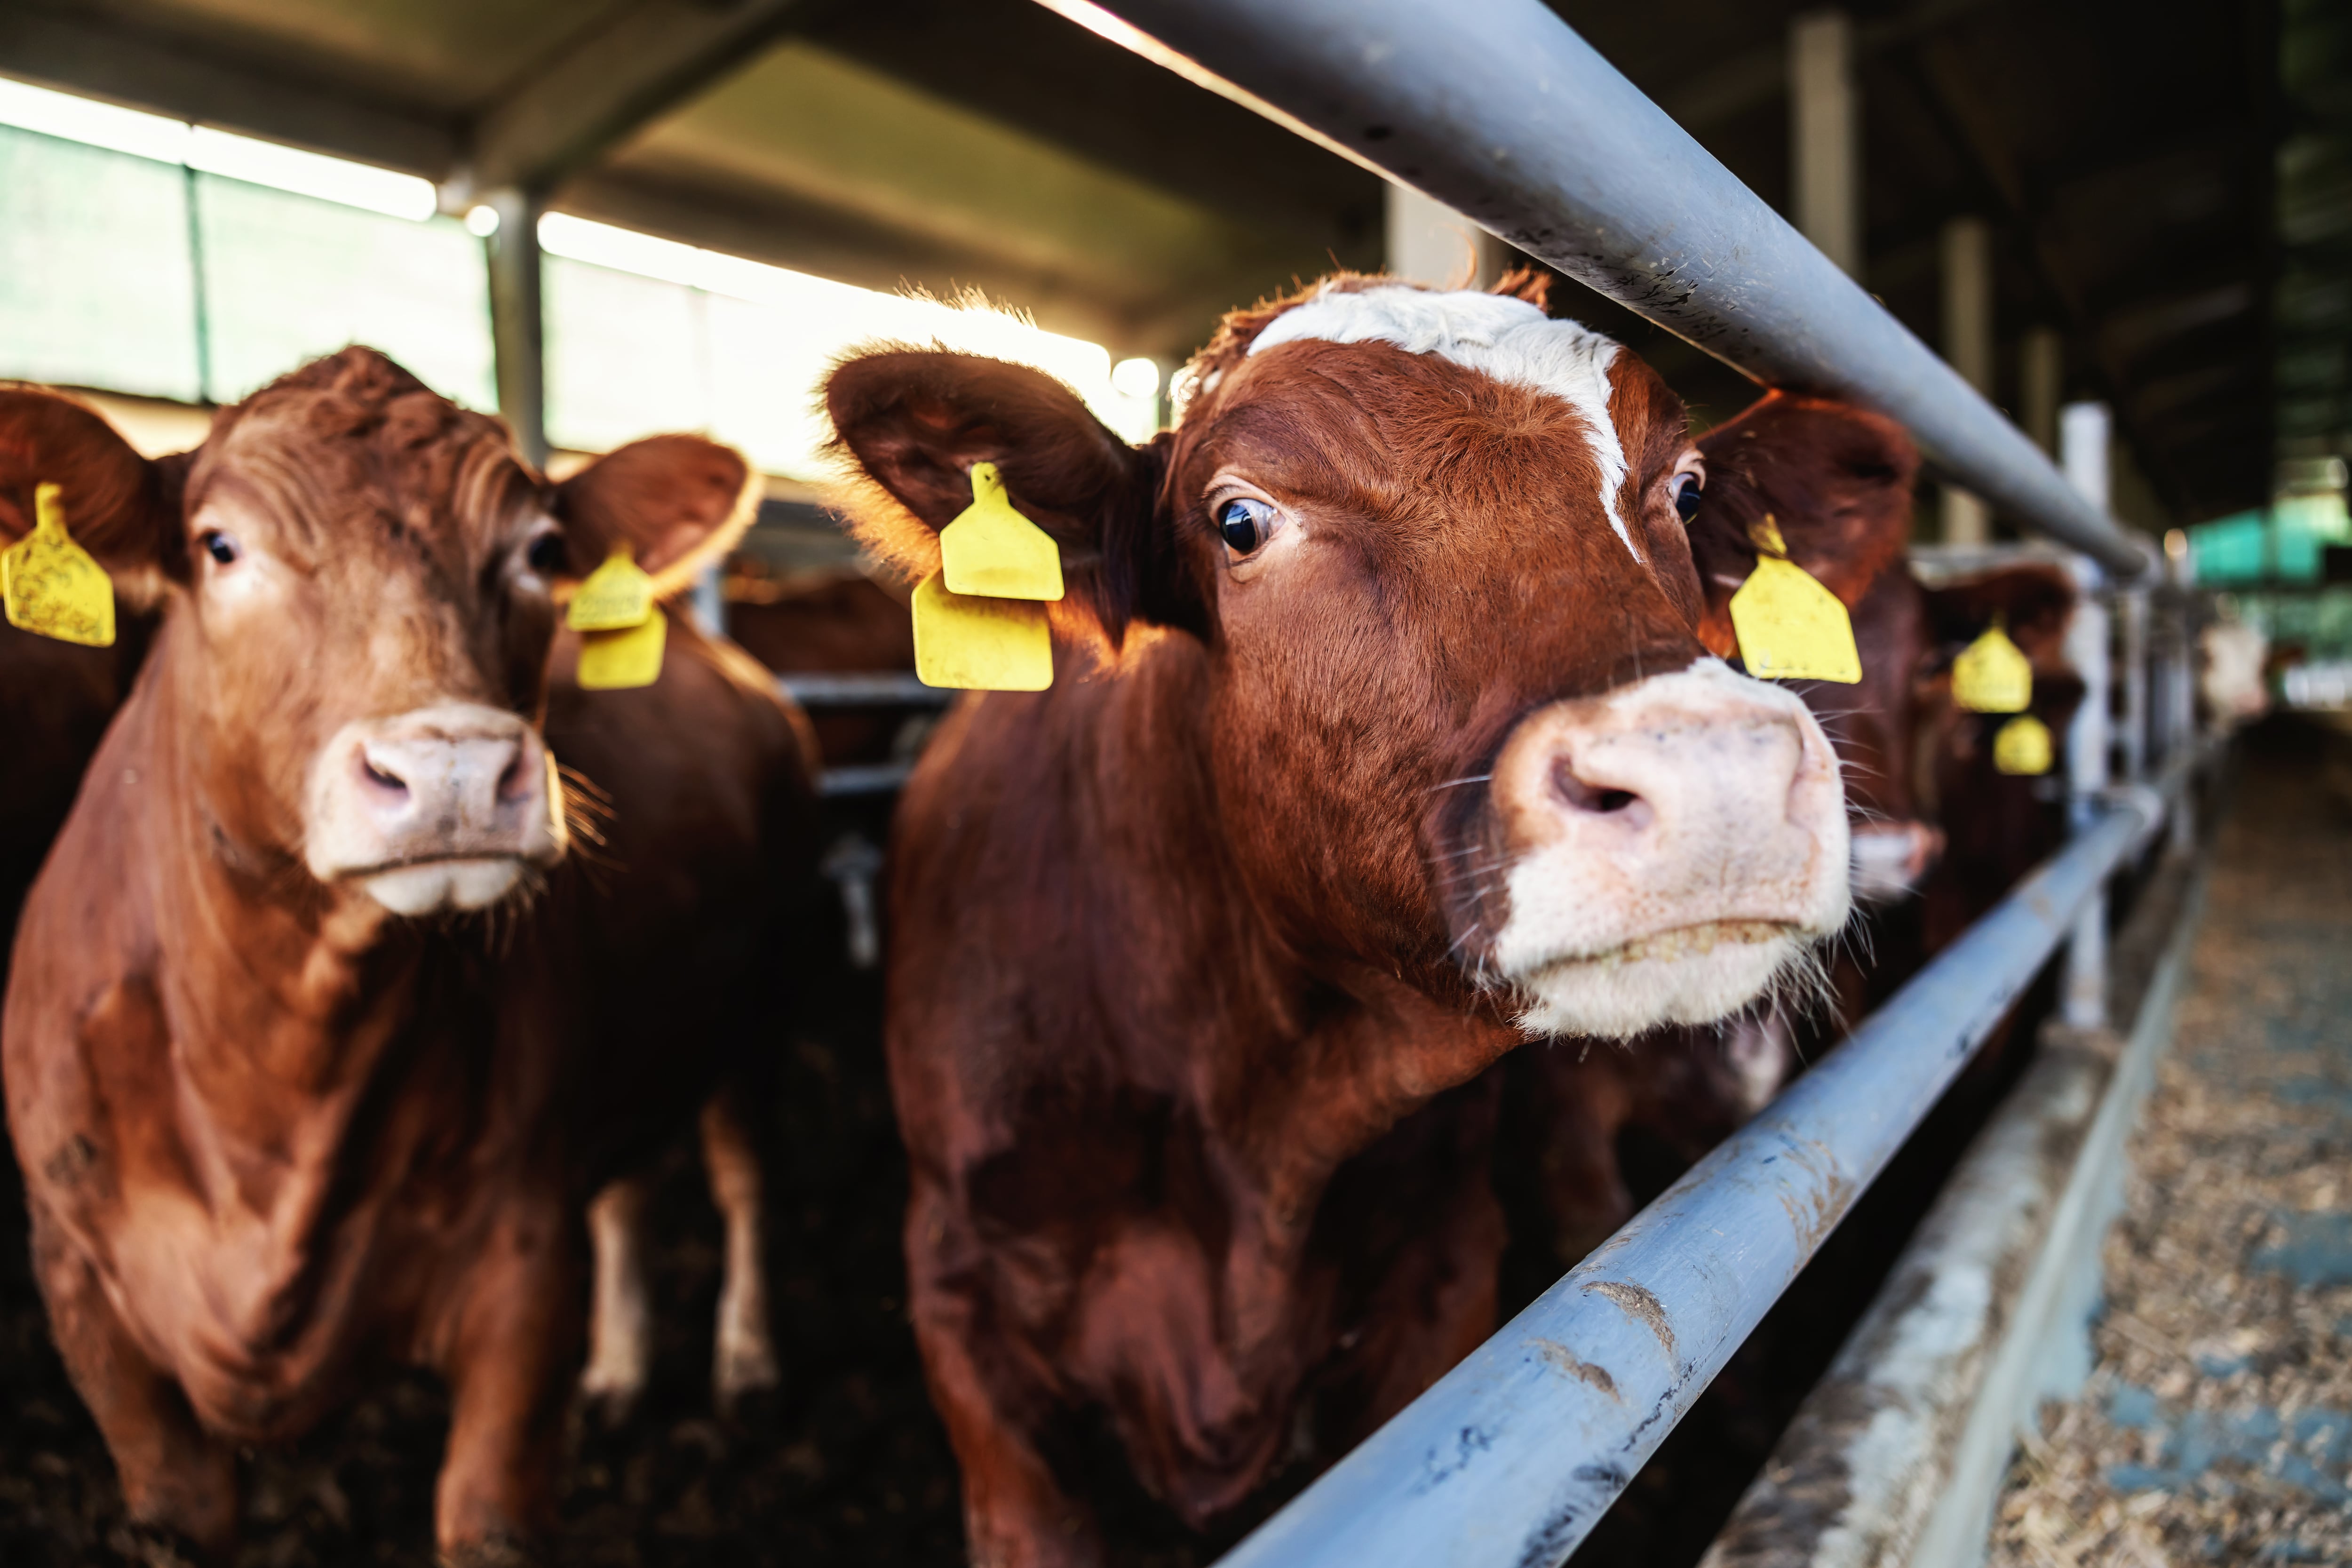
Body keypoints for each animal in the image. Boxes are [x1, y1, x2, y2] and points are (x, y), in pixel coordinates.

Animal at [0, 350, 814, 1561]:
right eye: (219, 546)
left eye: (540, 551)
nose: (455, 771)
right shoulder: (87, 1301)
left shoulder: (523, 1272)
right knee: (629, 1186)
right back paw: (621, 1374)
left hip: (761, 989)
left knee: (743, 1168)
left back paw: (750, 1367)